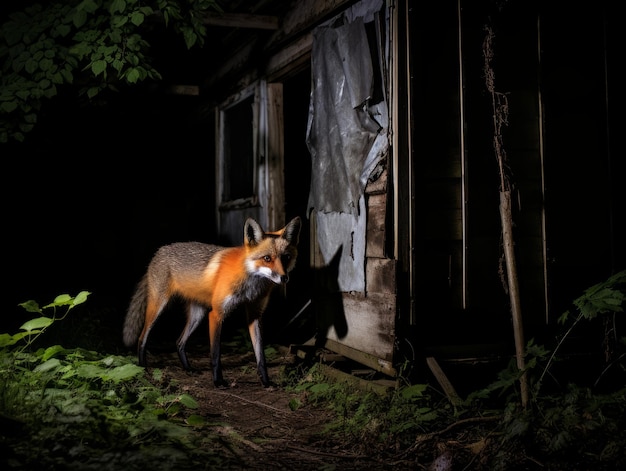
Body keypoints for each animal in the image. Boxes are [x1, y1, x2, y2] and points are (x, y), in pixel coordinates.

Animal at [123, 217, 302, 388]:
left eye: (286, 257)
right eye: (267, 258)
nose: (284, 278)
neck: (250, 282)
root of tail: (159, 251)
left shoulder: (255, 315)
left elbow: (261, 356)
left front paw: (266, 382)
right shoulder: (216, 313)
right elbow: (215, 354)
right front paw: (218, 382)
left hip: (197, 315)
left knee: (179, 342)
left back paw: (188, 369)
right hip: (158, 308)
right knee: (142, 338)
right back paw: (142, 367)